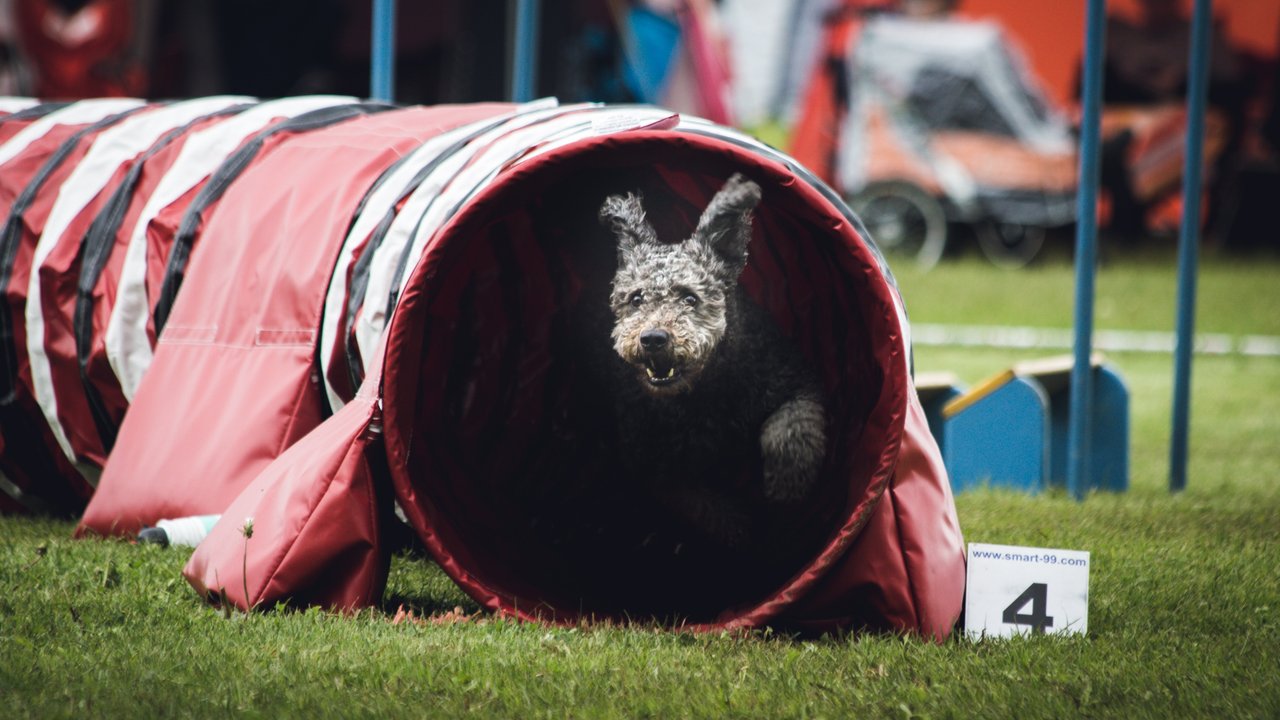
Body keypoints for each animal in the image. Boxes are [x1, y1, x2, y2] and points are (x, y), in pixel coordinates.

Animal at [599, 174, 829, 548]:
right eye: (636, 298)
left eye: (690, 298)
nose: (653, 339)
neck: (705, 390)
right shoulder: (654, 462)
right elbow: (700, 502)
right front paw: (740, 527)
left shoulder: (795, 381)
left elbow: (790, 428)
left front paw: (787, 485)